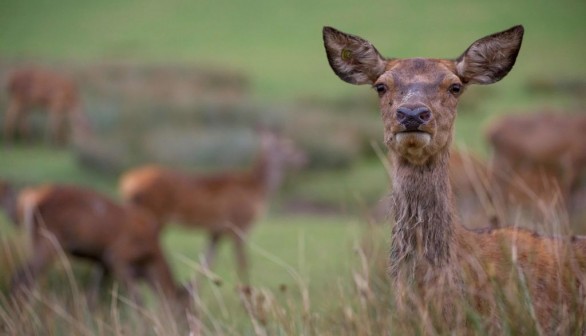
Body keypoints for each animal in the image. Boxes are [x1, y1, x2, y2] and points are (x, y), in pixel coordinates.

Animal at [6, 184, 187, 308]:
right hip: (49, 239)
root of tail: (30, 199)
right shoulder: (116, 255)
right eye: (186, 310)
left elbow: (92, 297)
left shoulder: (102, 262)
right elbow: (137, 299)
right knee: (23, 278)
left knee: (20, 277)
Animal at [121, 129, 308, 284]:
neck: (257, 188)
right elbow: (243, 263)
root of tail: (128, 184)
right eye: (287, 145)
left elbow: (206, 263)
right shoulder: (239, 225)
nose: (303, 157)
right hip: (154, 215)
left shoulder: (216, 231)